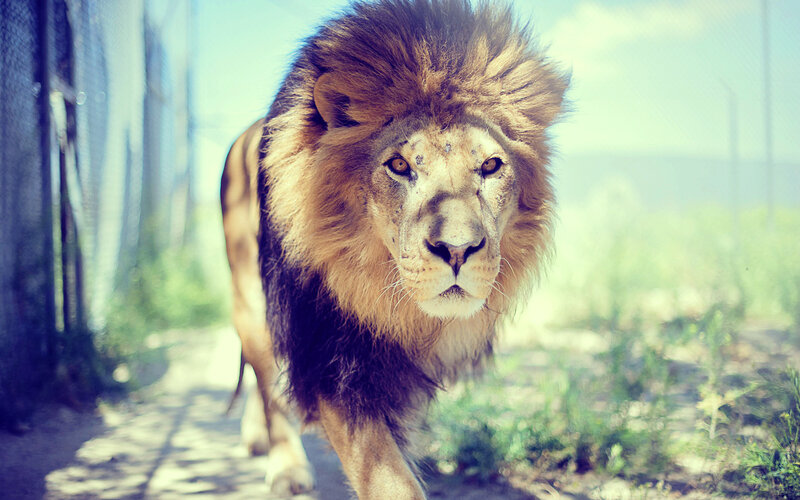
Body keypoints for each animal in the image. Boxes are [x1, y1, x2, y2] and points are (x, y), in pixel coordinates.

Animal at [220, 0, 568, 498]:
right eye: (400, 165)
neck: (394, 305)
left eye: (490, 166)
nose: (458, 250)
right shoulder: (330, 355)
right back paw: (286, 468)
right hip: (249, 295)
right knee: (267, 378)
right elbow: (388, 476)